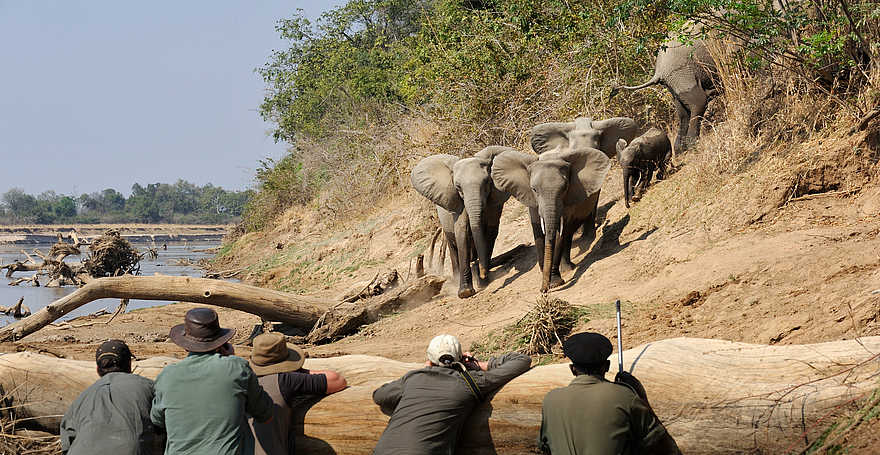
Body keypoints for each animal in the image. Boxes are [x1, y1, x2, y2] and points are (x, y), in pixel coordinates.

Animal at [411, 146, 513, 298]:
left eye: (487, 183)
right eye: (458, 187)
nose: (483, 273)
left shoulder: (494, 203)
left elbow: (490, 232)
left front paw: (483, 281)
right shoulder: (458, 205)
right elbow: (462, 232)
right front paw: (466, 292)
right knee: (453, 246)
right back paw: (458, 277)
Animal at [491, 146, 611, 292]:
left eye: (565, 188)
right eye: (534, 189)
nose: (543, 290)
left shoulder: (568, 199)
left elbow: (559, 233)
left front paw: (554, 283)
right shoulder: (532, 201)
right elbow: (537, 231)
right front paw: (545, 274)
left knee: (570, 230)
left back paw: (569, 267)